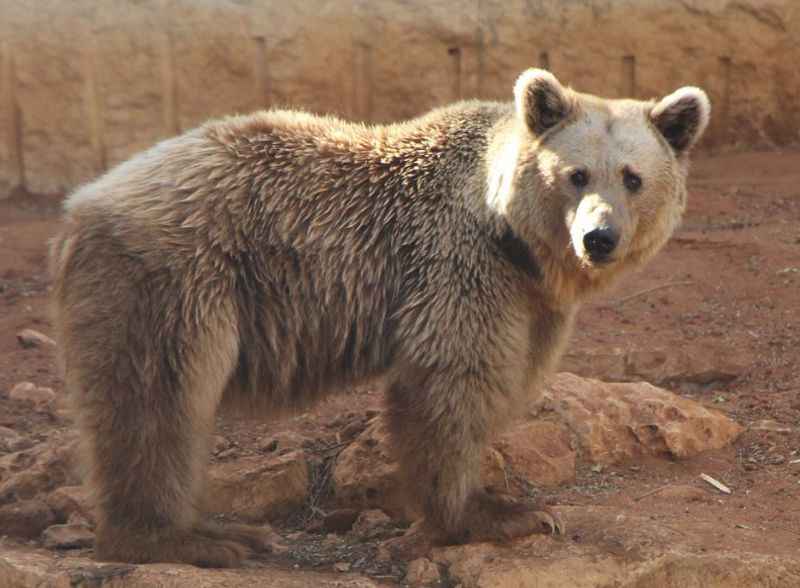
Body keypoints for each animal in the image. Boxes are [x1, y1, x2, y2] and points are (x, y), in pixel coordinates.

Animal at [50, 68, 708, 564]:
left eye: (633, 177)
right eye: (575, 174)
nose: (600, 237)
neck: (512, 239)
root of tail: (82, 203)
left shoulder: (533, 303)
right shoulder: (456, 266)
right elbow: (450, 384)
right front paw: (501, 512)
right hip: (178, 278)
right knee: (160, 401)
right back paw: (187, 538)